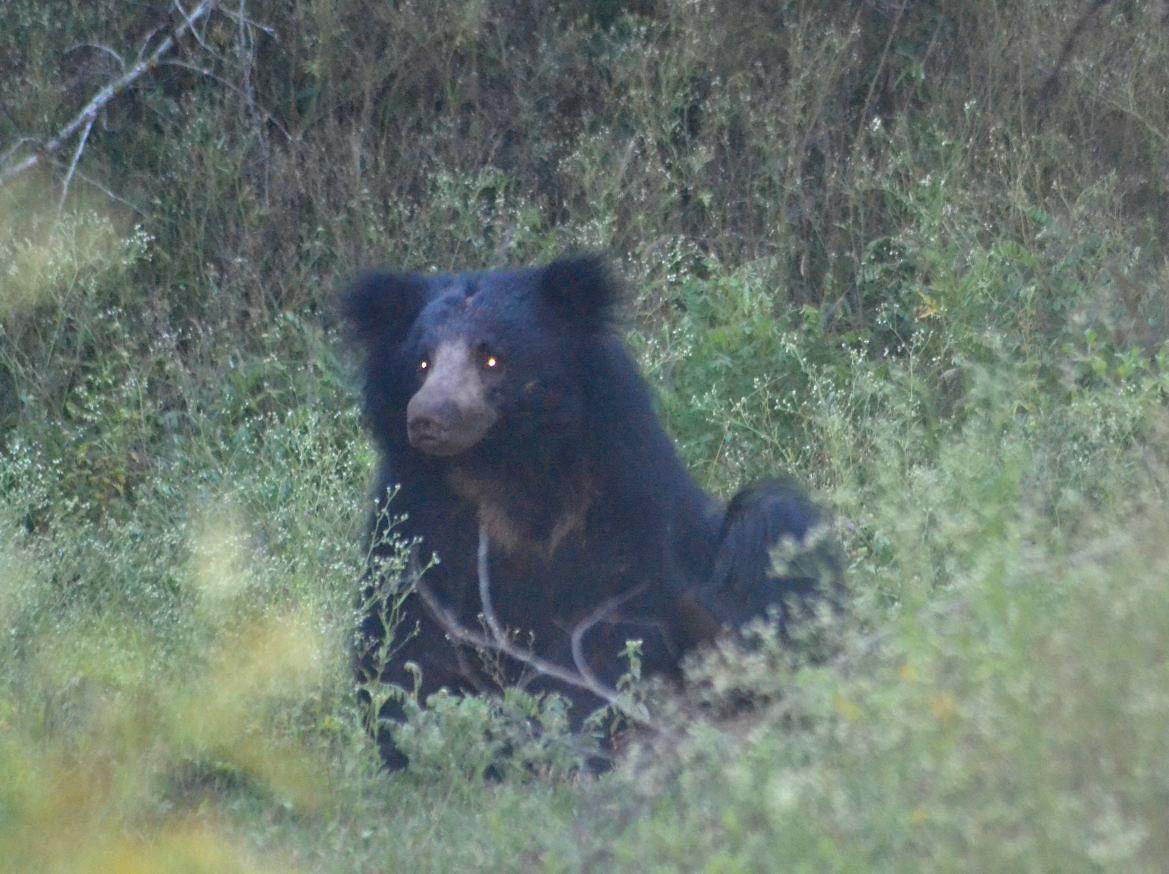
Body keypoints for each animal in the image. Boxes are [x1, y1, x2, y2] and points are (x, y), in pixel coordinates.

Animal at [341, 252, 837, 766]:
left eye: (491, 358)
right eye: (422, 363)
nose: (428, 419)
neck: (506, 467)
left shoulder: (619, 500)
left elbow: (608, 626)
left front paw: (561, 734)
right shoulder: (417, 509)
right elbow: (409, 624)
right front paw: (421, 741)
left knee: (771, 527)